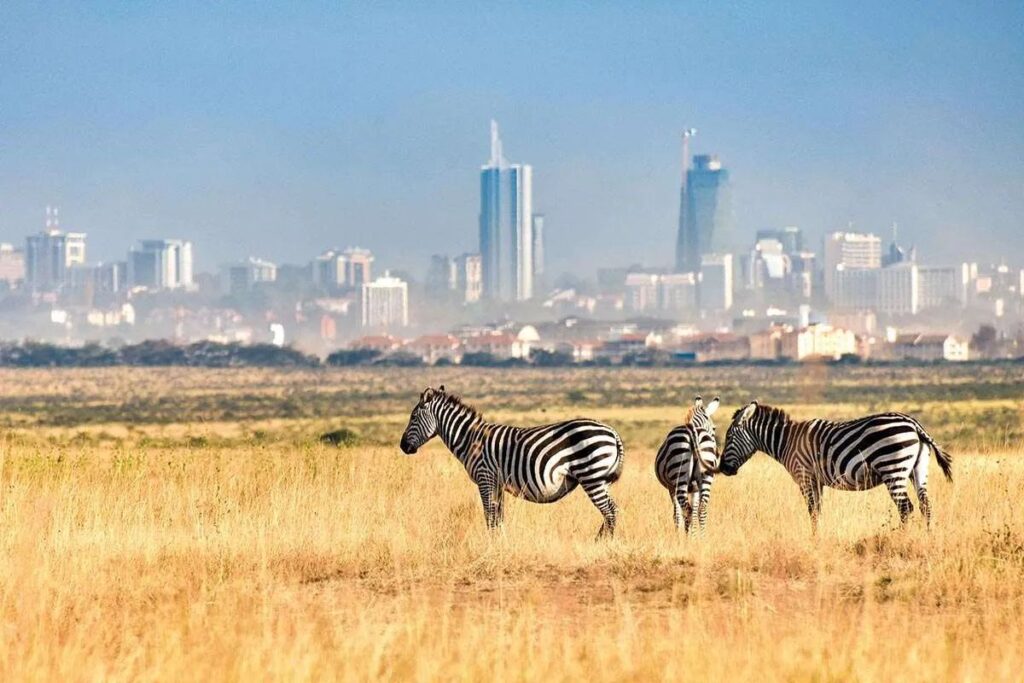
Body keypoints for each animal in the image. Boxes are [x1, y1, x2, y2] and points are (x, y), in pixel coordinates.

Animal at [397, 387, 622, 536]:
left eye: (413, 417)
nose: (402, 446)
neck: (470, 439)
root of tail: (612, 432)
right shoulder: (496, 482)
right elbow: (498, 516)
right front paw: (501, 541)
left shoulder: (485, 478)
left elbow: (489, 514)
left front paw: (491, 544)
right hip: (600, 479)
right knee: (612, 509)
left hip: (591, 476)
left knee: (609, 511)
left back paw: (601, 544)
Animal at [655, 395, 720, 532]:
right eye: (714, 428)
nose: (717, 453)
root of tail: (694, 433)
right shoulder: (695, 488)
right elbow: (694, 512)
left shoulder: (671, 487)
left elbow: (677, 514)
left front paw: (678, 534)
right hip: (706, 477)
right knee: (701, 509)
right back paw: (702, 536)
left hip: (679, 476)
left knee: (687, 511)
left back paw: (688, 536)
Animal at [720, 403, 950, 532]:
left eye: (729, 437)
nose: (722, 468)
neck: (787, 441)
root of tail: (914, 424)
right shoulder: (817, 481)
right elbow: (818, 511)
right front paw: (818, 537)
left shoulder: (804, 476)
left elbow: (812, 510)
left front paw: (814, 540)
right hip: (917, 470)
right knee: (925, 506)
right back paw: (927, 539)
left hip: (892, 468)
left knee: (905, 508)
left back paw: (902, 539)